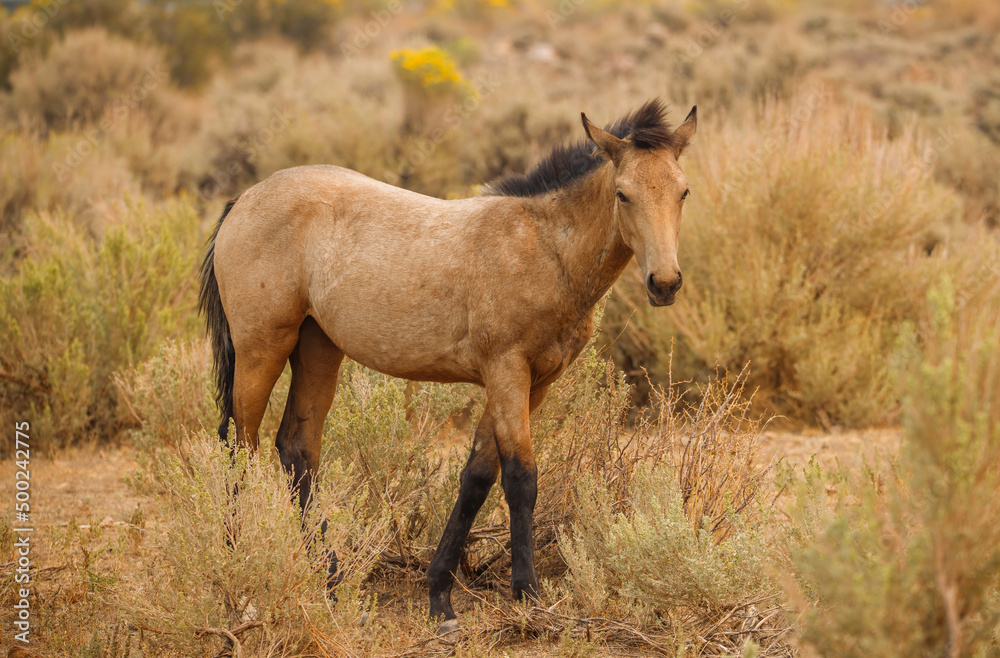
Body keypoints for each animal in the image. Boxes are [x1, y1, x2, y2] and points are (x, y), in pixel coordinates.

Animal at [195, 96, 696, 624]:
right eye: (623, 194)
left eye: (683, 191)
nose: (664, 283)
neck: (543, 248)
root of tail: (243, 201)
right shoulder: (507, 372)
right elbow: (520, 479)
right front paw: (527, 593)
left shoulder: (532, 384)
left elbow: (477, 477)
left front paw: (440, 596)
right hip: (261, 349)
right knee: (238, 449)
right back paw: (237, 574)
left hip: (317, 349)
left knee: (296, 449)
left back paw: (331, 583)